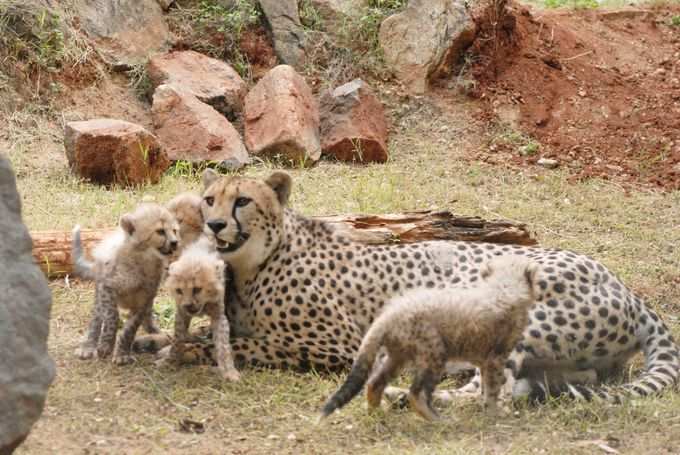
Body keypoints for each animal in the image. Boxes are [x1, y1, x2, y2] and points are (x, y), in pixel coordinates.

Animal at [162, 171, 676, 402]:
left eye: (242, 201)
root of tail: (629, 290)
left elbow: (246, 346)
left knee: (491, 391)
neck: (255, 262)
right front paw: (168, 340)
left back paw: (406, 393)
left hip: (524, 311)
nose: (213, 223)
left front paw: (182, 350)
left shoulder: (338, 344)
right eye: (210, 199)